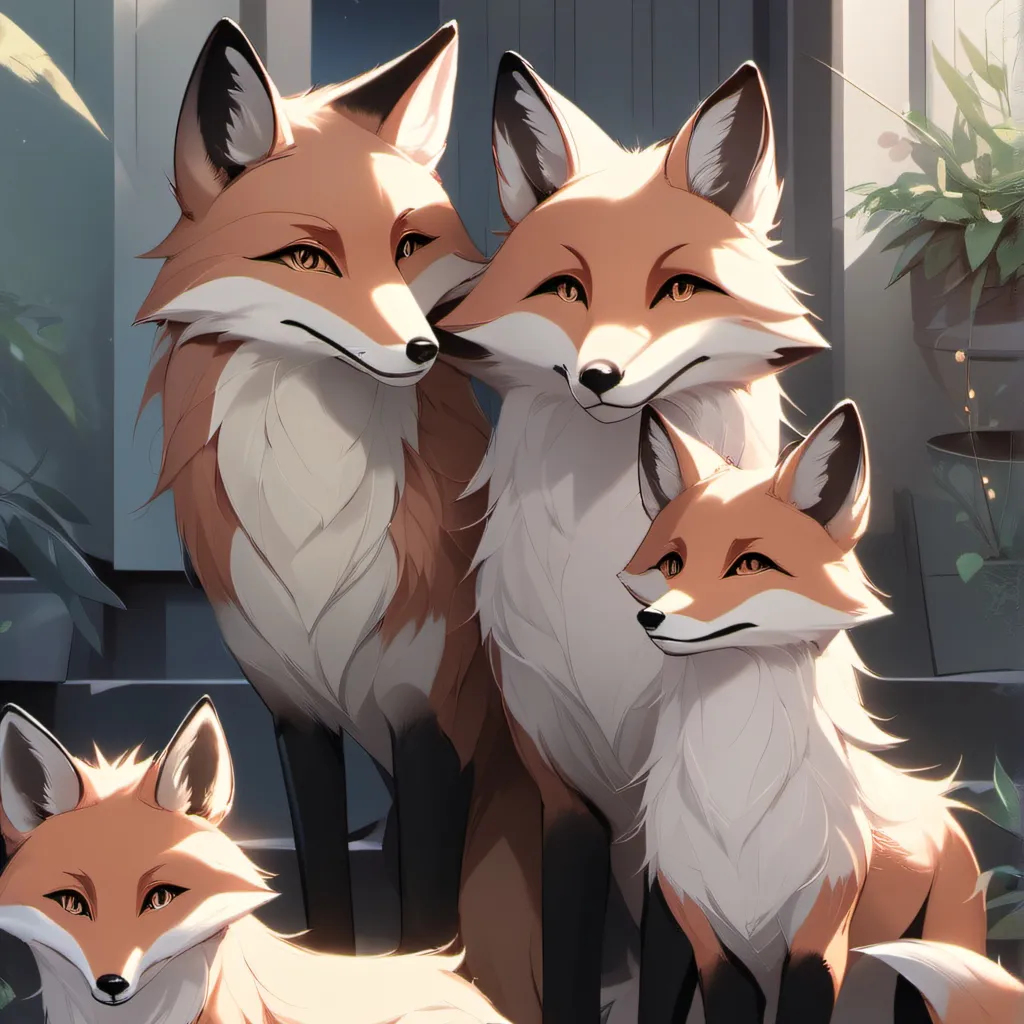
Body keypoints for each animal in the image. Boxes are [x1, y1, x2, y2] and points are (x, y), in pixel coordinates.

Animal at [132, 18, 542, 1018]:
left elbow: (428, 926)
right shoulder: (296, 720)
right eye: (308, 260)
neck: (312, 520)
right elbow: (327, 908)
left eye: (409, 244)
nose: (426, 349)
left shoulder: (435, 725)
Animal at [431, 53, 828, 1023]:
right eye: (566, 290)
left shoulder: (665, 821)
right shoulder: (562, 790)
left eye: (677, 289)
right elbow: (574, 966)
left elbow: (664, 978)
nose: (600, 377)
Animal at [621, 397, 1024, 1024]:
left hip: (937, 977)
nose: (652, 619)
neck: (738, 800)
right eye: (670, 564)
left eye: (750, 564)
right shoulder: (713, 945)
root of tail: (946, 813)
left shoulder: (818, 942)